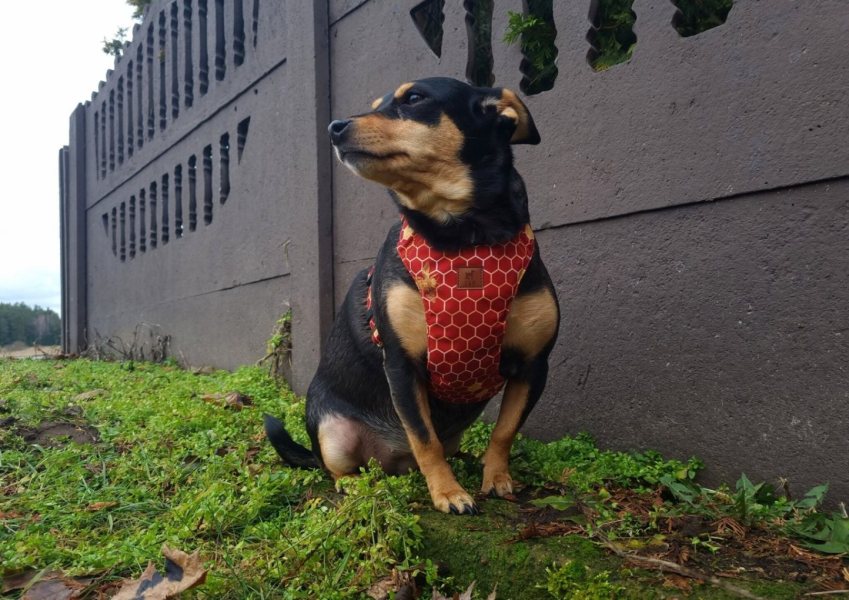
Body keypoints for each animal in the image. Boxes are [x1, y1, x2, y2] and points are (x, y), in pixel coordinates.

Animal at [264, 77, 559, 514]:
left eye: (415, 99)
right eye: (375, 105)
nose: (334, 127)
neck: (464, 236)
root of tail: (390, 462)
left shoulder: (533, 366)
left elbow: (504, 431)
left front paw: (496, 477)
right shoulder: (403, 367)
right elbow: (425, 438)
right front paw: (449, 493)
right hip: (332, 430)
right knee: (335, 468)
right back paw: (356, 484)